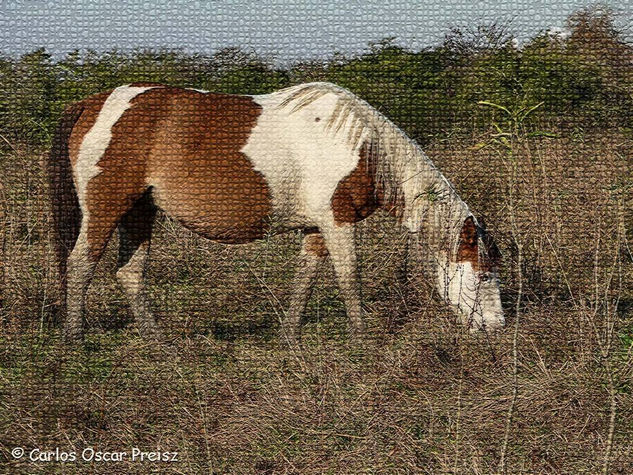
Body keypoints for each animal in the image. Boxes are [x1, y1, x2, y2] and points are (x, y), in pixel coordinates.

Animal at [48, 81, 504, 342]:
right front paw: (362, 337)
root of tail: (92, 104)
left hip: (140, 212)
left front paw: (288, 334)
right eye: (483, 275)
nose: (497, 329)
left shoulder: (316, 228)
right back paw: (75, 337)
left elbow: (306, 276)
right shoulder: (336, 221)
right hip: (107, 209)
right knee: (80, 263)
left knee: (128, 273)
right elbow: (349, 275)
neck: (366, 148)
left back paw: (158, 340)